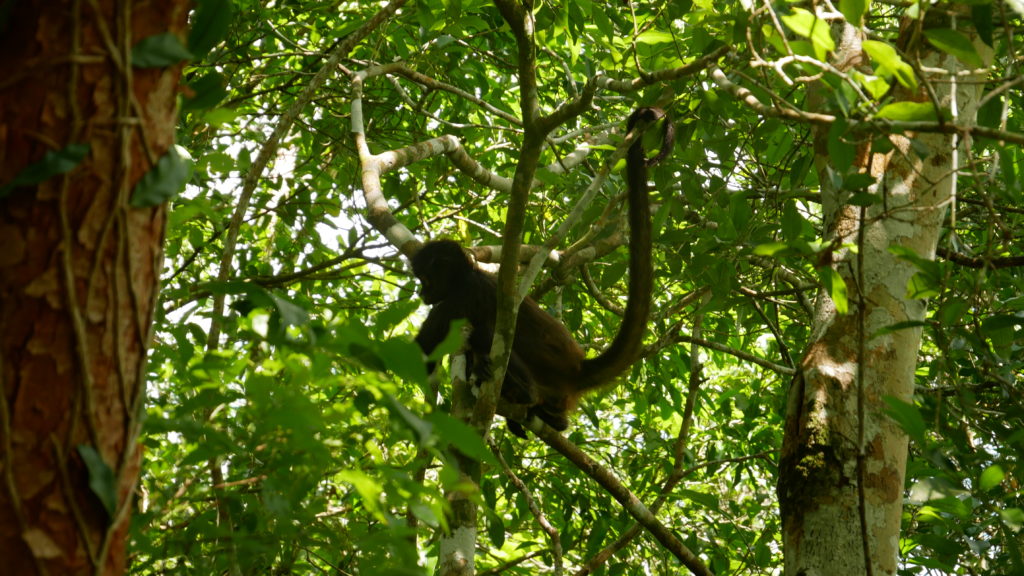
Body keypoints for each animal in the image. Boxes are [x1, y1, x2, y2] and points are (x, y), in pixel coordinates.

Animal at [411, 105, 675, 432]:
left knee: (485, 334)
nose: (421, 294)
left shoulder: (458, 299)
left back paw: (524, 392)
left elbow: (421, 351)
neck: (468, 275)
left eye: (426, 279)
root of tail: (576, 368)